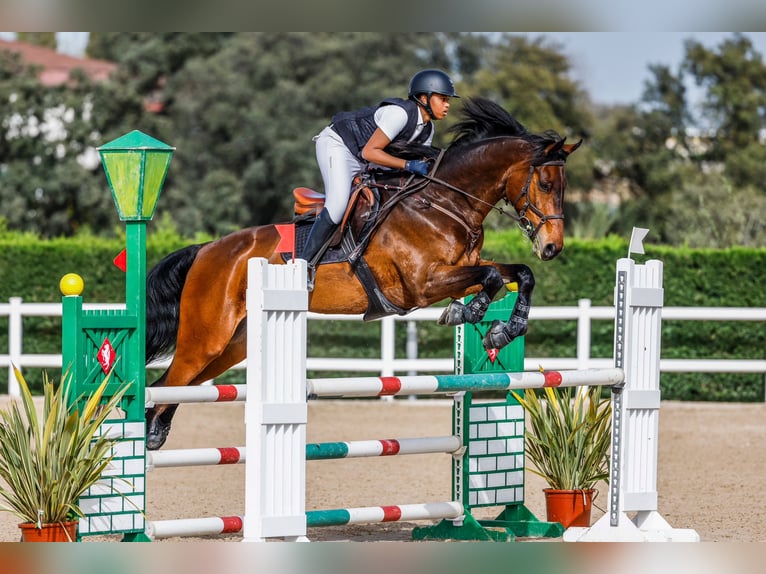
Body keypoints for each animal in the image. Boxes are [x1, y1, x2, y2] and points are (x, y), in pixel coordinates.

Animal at [144, 97, 582, 449]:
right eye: (545, 184)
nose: (552, 247)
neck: (443, 202)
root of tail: (207, 250)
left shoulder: (461, 268)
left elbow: (517, 273)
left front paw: (503, 328)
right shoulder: (423, 285)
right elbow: (490, 278)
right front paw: (469, 313)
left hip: (233, 344)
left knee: (176, 386)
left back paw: (156, 434)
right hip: (206, 337)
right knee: (165, 382)